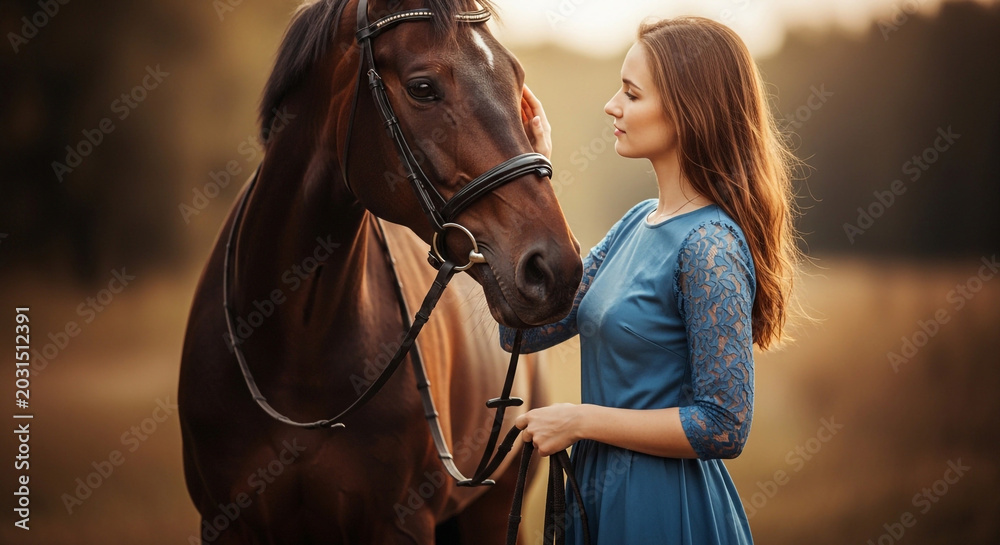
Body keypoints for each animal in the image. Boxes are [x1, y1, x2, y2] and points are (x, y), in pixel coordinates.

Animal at [178, 0, 583, 543]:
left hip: (495, 512)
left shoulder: (400, 524)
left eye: (515, 77)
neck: (294, 352)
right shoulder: (224, 523)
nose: (555, 269)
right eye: (422, 87)